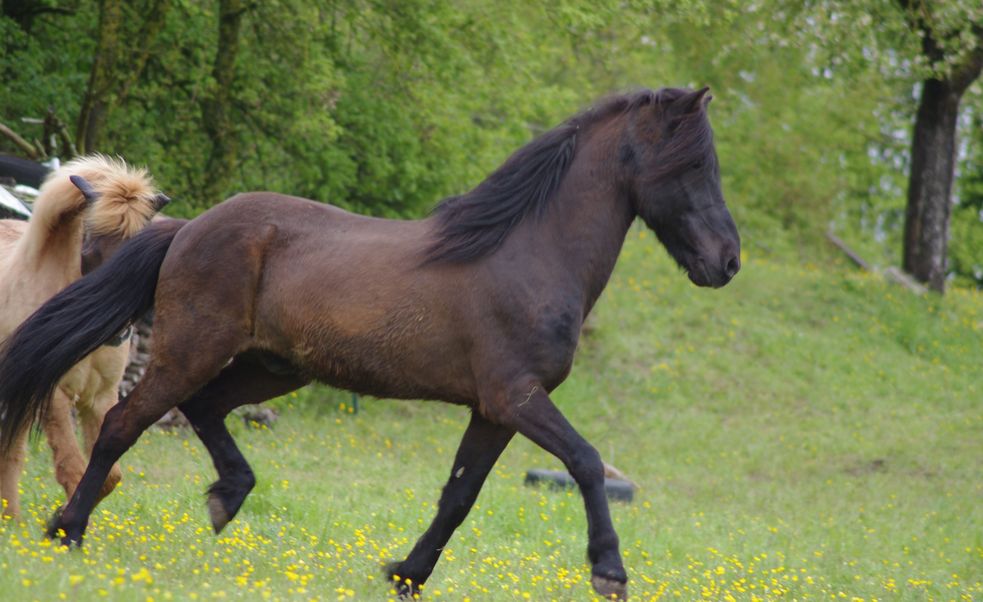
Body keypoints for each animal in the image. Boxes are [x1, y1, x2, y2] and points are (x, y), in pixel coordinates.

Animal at [0, 157, 167, 516]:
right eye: (89, 250)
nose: (117, 329)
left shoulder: (101, 397)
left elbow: (108, 476)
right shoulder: (55, 397)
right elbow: (73, 468)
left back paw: (12, 519)